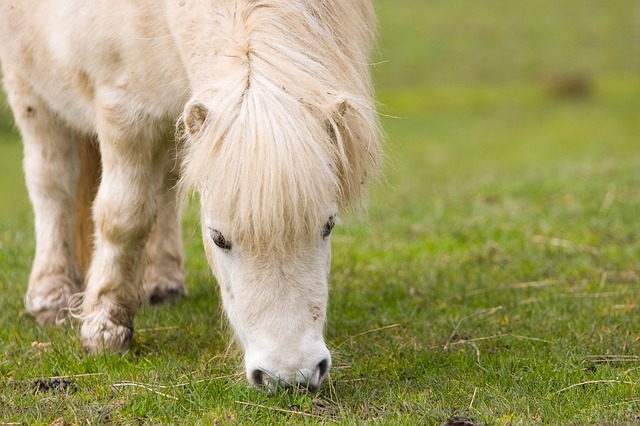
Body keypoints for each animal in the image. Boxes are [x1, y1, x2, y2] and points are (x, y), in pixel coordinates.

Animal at [0, 0, 380, 390]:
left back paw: (161, 283)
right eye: (218, 238)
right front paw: (104, 329)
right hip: (28, 88)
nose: (290, 377)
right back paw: (51, 295)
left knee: (165, 186)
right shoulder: (123, 110)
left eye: (328, 226)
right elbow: (123, 218)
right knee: (52, 183)